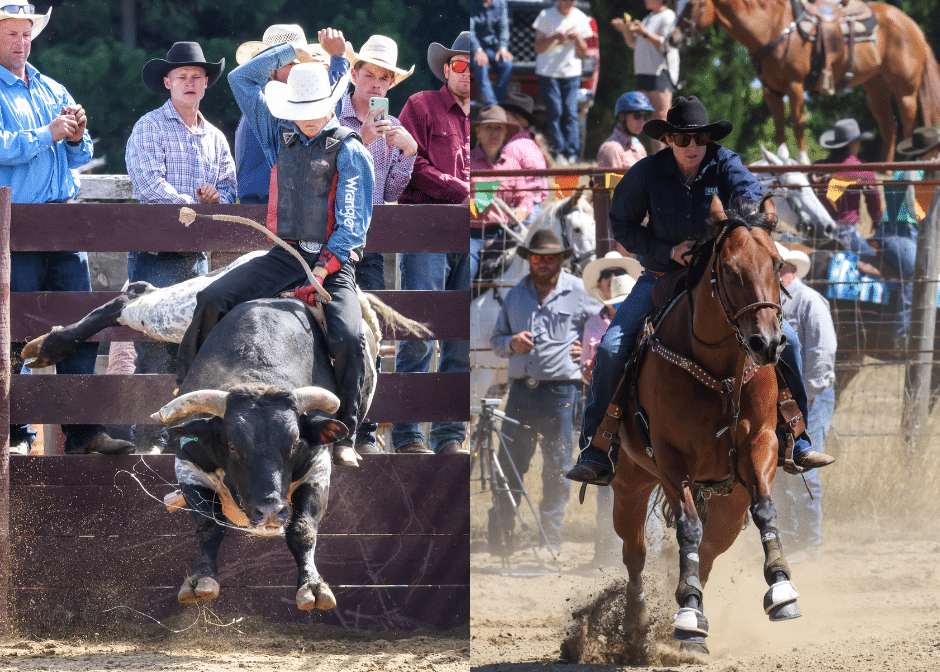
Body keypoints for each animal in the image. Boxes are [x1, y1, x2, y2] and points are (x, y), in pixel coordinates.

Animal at [612, 200, 796, 652]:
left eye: (778, 263)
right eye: (728, 269)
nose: (768, 343)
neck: (721, 372)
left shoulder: (761, 444)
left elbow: (766, 509)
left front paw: (781, 588)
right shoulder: (671, 461)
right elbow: (688, 529)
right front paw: (688, 617)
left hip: (730, 504)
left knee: (711, 550)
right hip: (629, 484)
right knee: (635, 552)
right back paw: (640, 623)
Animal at [676, 0, 940, 161]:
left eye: (691, 4)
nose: (673, 37)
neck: (772, 27)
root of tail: (913, 26)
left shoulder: (795, 86)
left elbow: (797, 123)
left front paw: (801, 160)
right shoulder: (771, 90)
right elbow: (780, 129)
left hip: (905, 89)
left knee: (908, 123)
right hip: (876, 87)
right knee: (889, 126)